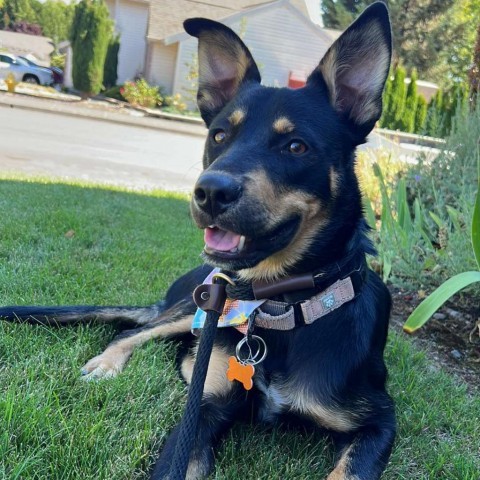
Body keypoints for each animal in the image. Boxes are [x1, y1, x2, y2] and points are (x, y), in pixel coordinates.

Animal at [0, 1, 398, 478]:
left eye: (296, 146)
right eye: (219, 135)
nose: (209, 192)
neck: (281, 307)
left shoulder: (378, 421)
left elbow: (350, 467)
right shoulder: (203, 411)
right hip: (196, 307)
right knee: (133, 330)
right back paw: (107, 363)